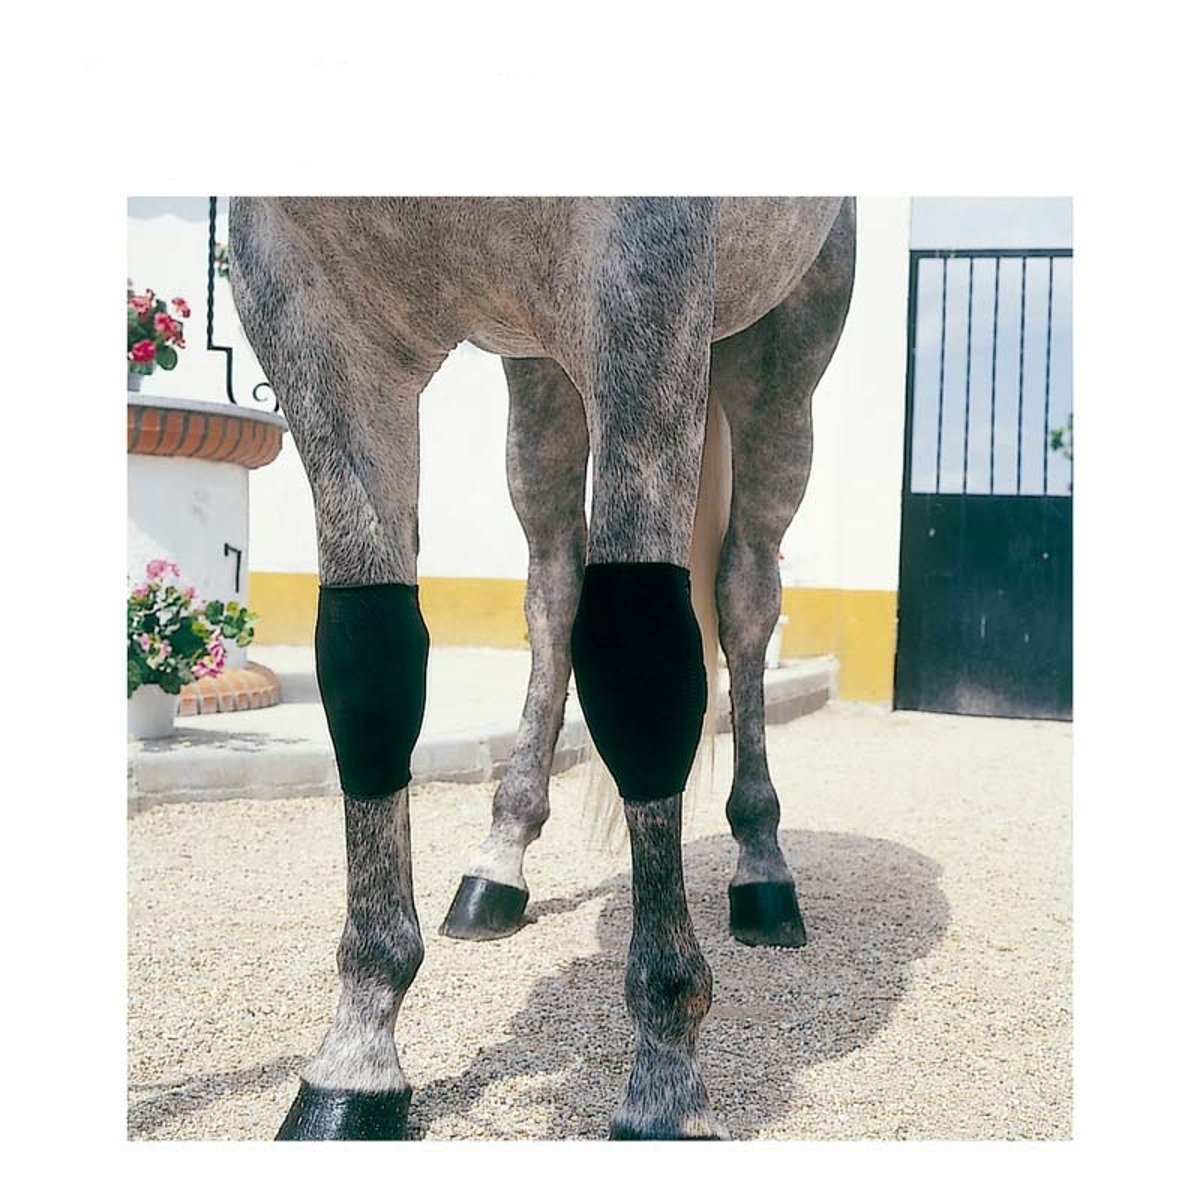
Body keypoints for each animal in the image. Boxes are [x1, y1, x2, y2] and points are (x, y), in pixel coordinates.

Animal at [229, 196, 856, 1140]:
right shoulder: (312, 316)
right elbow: (369, 659)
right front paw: (355, 1060)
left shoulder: (645, 276)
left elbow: (641, 659)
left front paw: (666, 1083)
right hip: (540, 379)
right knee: (554, 587)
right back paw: (499, 860)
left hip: (780, 360)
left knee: (746, 592)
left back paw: (763, 868)